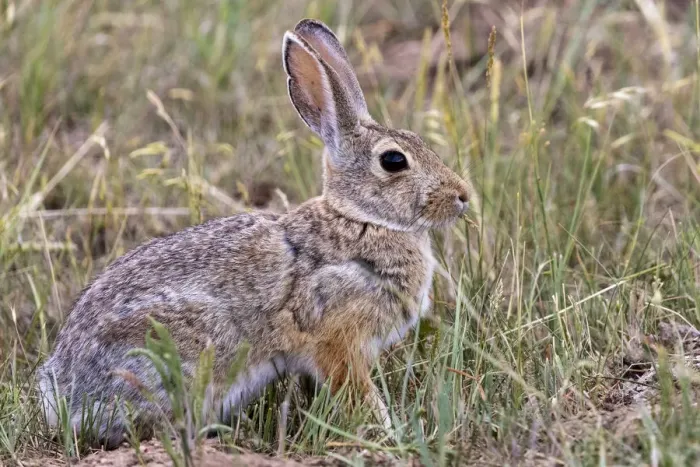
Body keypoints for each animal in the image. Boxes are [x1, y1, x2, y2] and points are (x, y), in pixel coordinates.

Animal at [38, 18, 473, 448]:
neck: (362, 219)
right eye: (394, 160)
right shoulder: (339, 339)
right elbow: (357, 390)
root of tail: (65, 397)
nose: (463, 196)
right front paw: (388, 432)